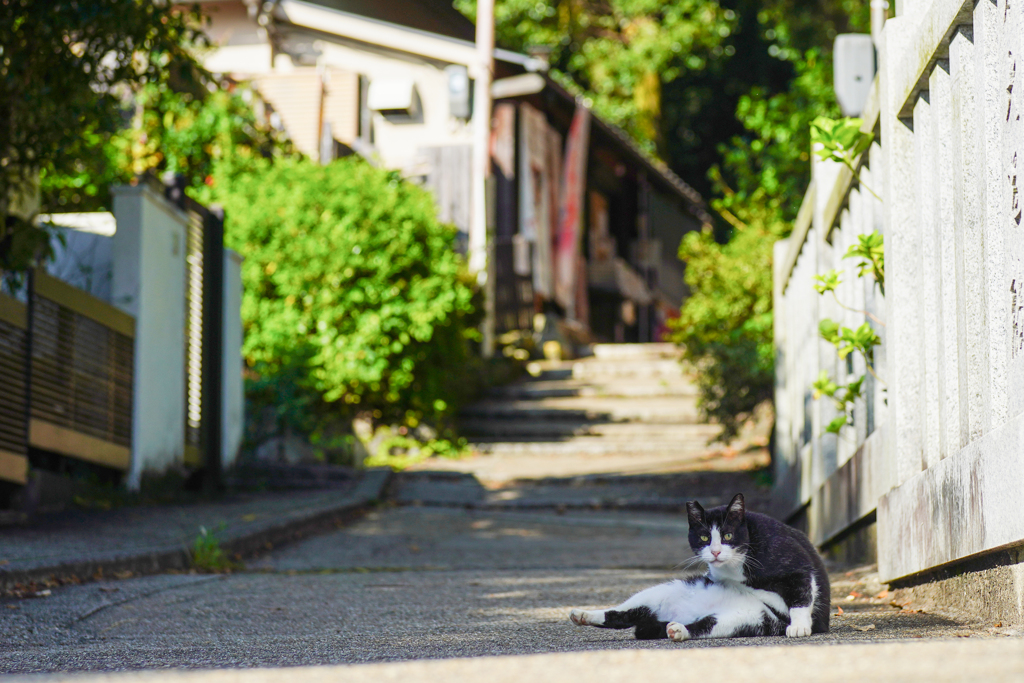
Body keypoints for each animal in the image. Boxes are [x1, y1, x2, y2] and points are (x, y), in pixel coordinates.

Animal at [569, 491, 831, 643]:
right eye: (705, 537)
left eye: (727, 535)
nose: (715, 551)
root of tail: (674, 615)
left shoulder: (797, 565)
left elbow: (801, 596)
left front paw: (799, 626)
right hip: (662, 592)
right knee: (620, 615)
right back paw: (583, 615)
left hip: (746, 619)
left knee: (703, 626)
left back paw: (678, 630)